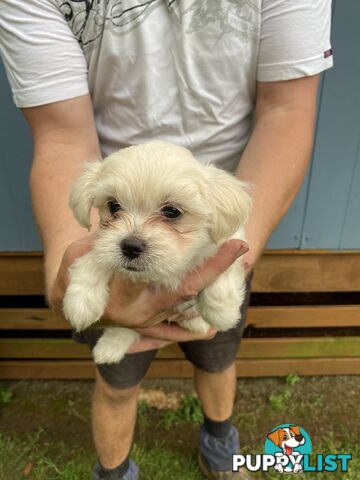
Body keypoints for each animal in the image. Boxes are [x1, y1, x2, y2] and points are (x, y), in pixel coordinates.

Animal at [62, 141, 250, 366]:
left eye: (172, 211)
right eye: (113, 205)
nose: (130, 246)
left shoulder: (231, 242)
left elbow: (224, 276)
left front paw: (222, 313)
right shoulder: (103, 245)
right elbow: (93, 261)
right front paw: (80, 302)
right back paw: (109, 347)